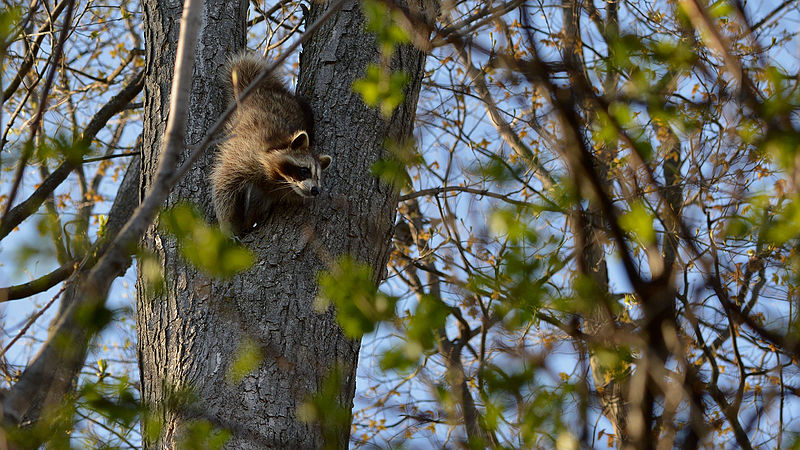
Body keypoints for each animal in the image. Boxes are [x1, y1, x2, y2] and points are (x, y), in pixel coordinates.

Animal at [211, 52, 332, 236]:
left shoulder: (268, 190)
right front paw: (227, 225)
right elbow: (224, 184)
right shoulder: (246, 153)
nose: (315, 190)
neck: (279, 178)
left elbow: (258, 202)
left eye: (318, 176)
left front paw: (247, 222)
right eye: (304, 170)